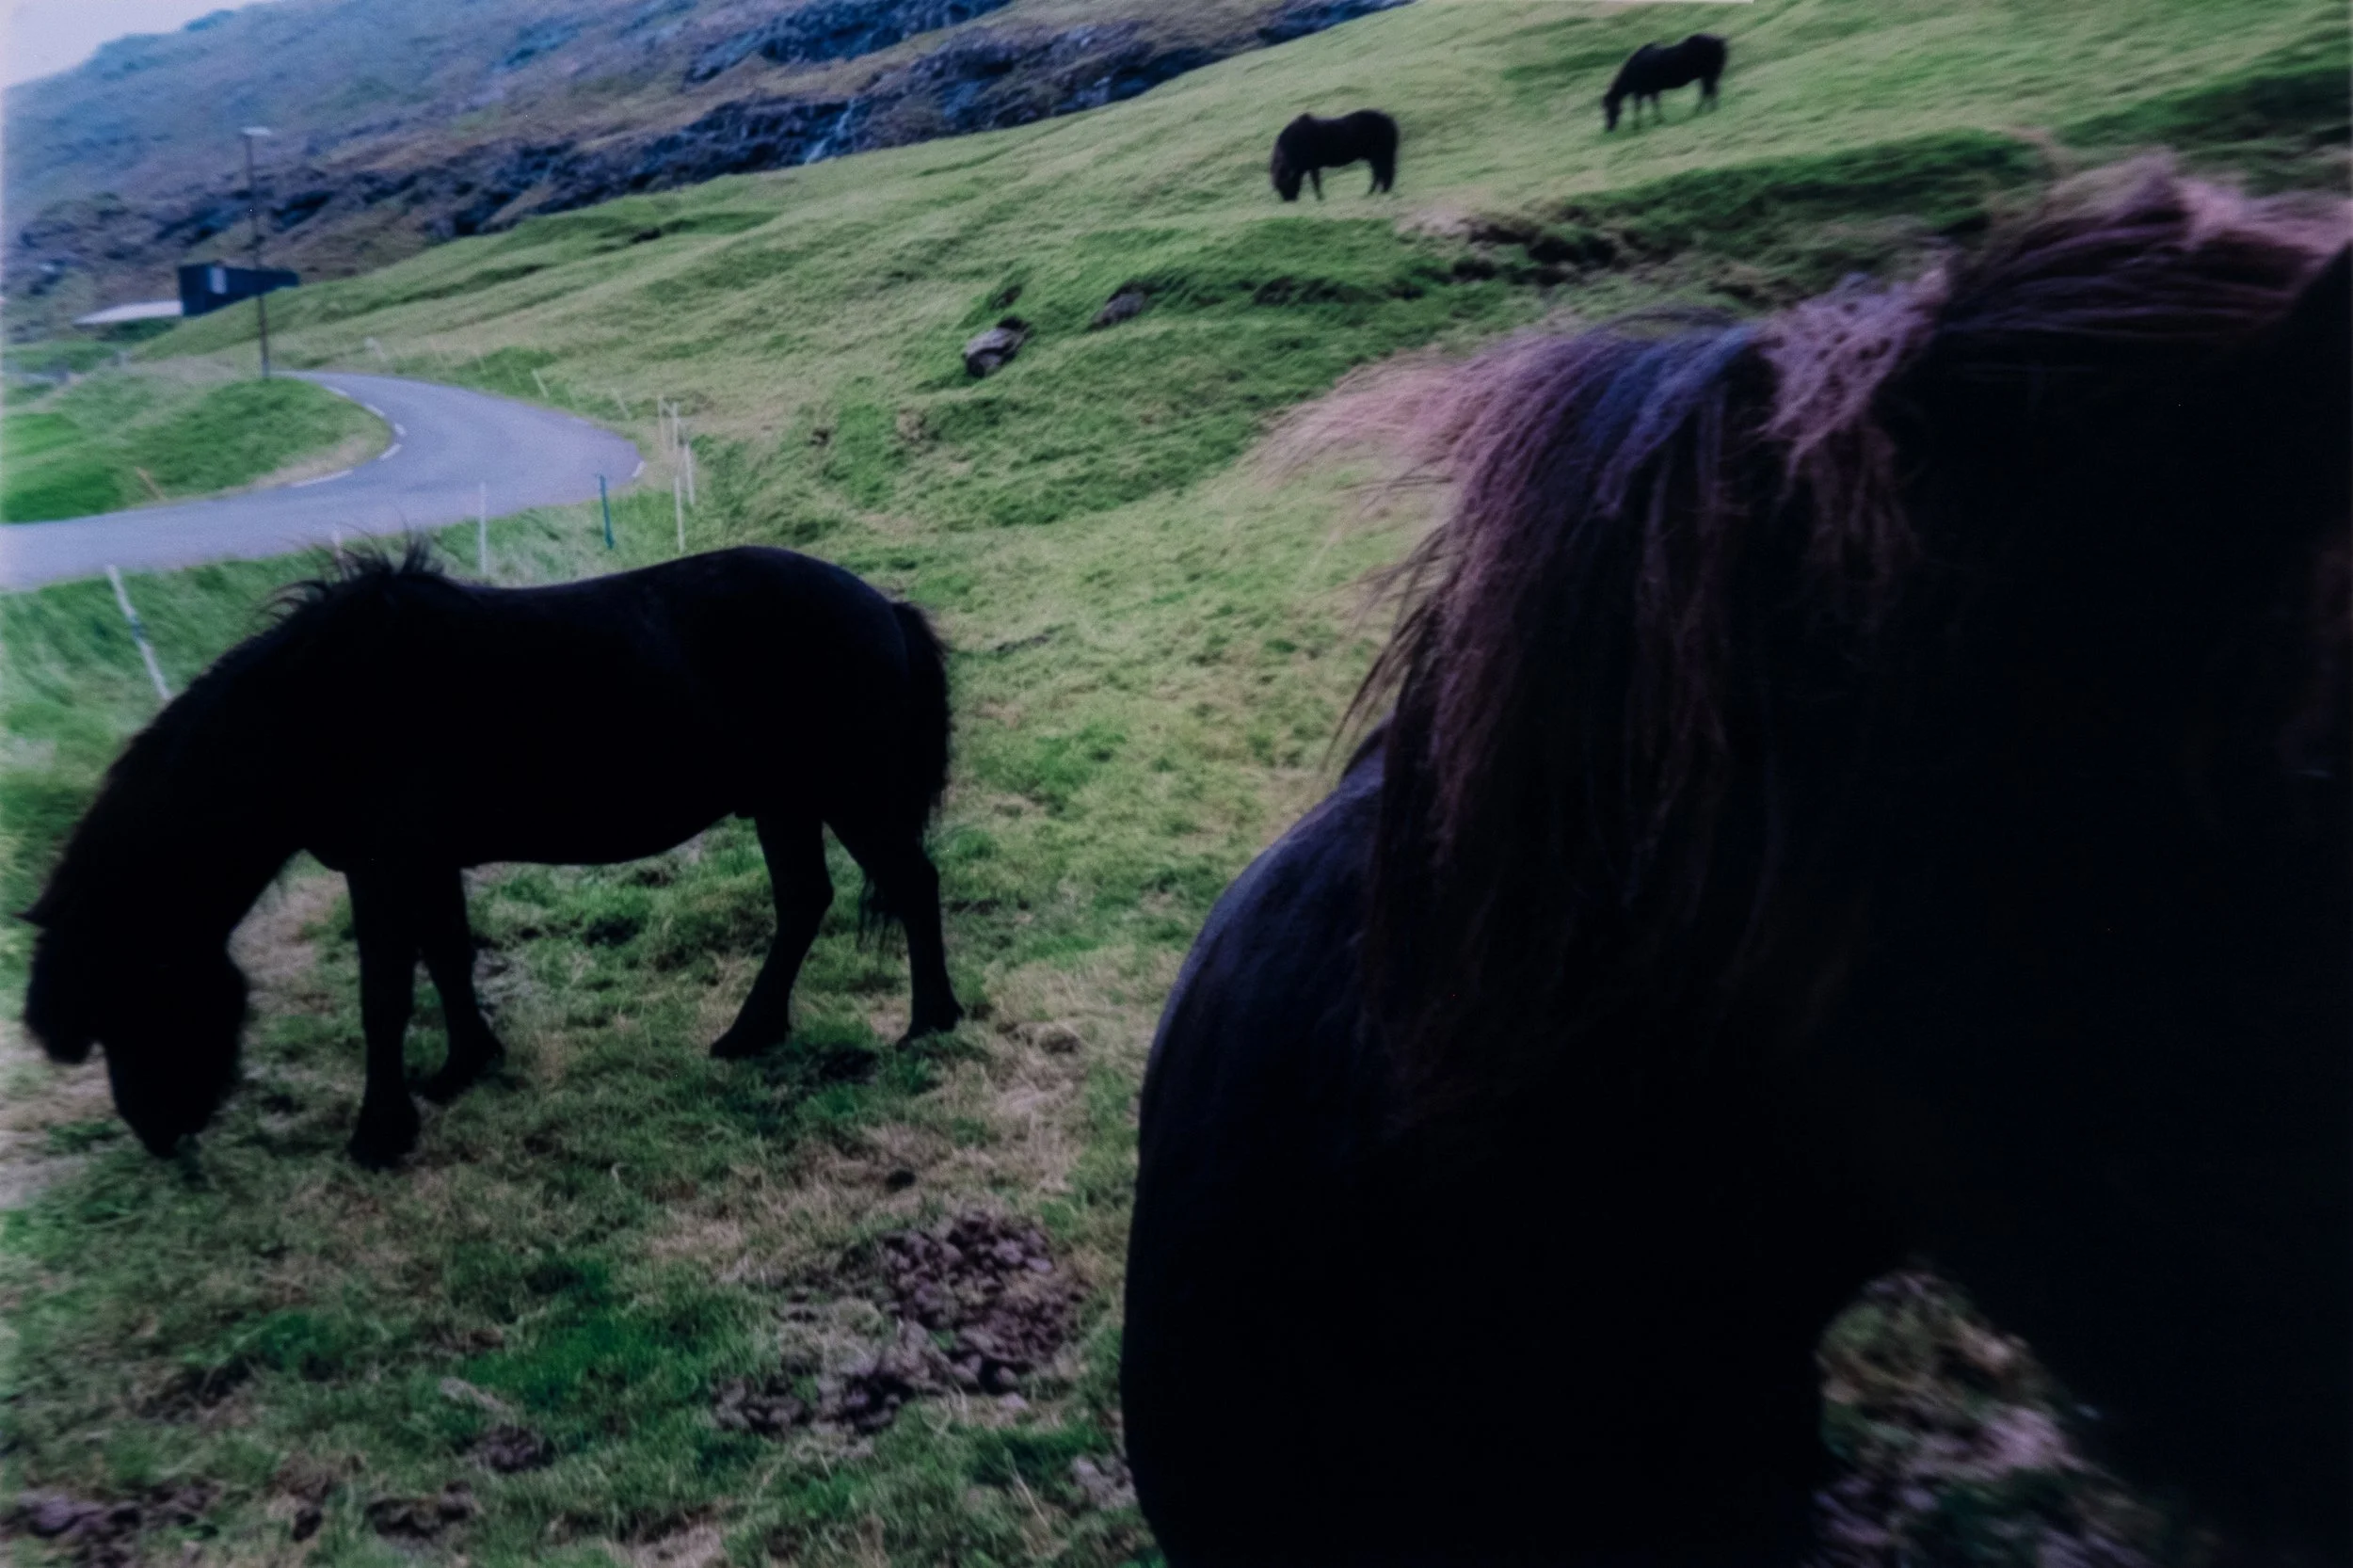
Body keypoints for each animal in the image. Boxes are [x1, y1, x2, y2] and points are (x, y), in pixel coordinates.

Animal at [21, 544, 962, 1169]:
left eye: (133, 998)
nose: (157, 1133)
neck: (322, 708)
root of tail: (884, 606)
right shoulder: (422, 862)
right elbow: (447, 957)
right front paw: (463, 1067)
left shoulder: (384, 866)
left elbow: (385, 996)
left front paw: (381, 1131)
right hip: (784, 802)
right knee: (804, 900)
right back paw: (751, 1032)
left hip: (846, 793)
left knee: (911, 884)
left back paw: (930, 1022)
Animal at [1270, 110, 1398, 202]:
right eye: (1278, 187)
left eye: (1286, 185)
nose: (1289, 200)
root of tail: (1389, 121)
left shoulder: (1313, 166)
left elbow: (1316, 182)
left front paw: (1320, 198)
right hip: (1378, 157)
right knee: (1381, 173)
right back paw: (1378, 192)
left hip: (1380, 156)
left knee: (1381, 173)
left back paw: (1373, 192)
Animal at [1604, 33, 1726, 130]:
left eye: (1610, 107)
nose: (1609, 127)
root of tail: (1719, 40)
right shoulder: (1651, 90)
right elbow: (1655, 103)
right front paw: (1658, 120)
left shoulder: (1640, 92)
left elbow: (1638, 107)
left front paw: (1637, 125)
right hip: (1708, 75)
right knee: (1709, 90)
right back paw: (1703, 109)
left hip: (1709, 74)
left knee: (1709, 90)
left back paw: (1705, 109)